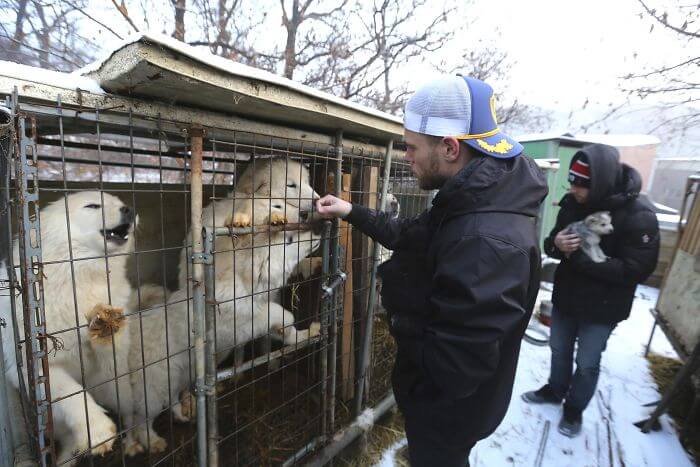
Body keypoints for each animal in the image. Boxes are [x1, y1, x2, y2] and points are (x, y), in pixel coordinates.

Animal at [0, 192, 139, 466]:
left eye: (119, 202)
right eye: (92, 205)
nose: (129, 209)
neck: (81, 276)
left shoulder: (108, 364)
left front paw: (106, 327)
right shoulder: (40, 369)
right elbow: (74, 394)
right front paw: (96, 430)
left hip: (120, 392)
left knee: (131, 417)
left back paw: (138, 442)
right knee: (70, 441)